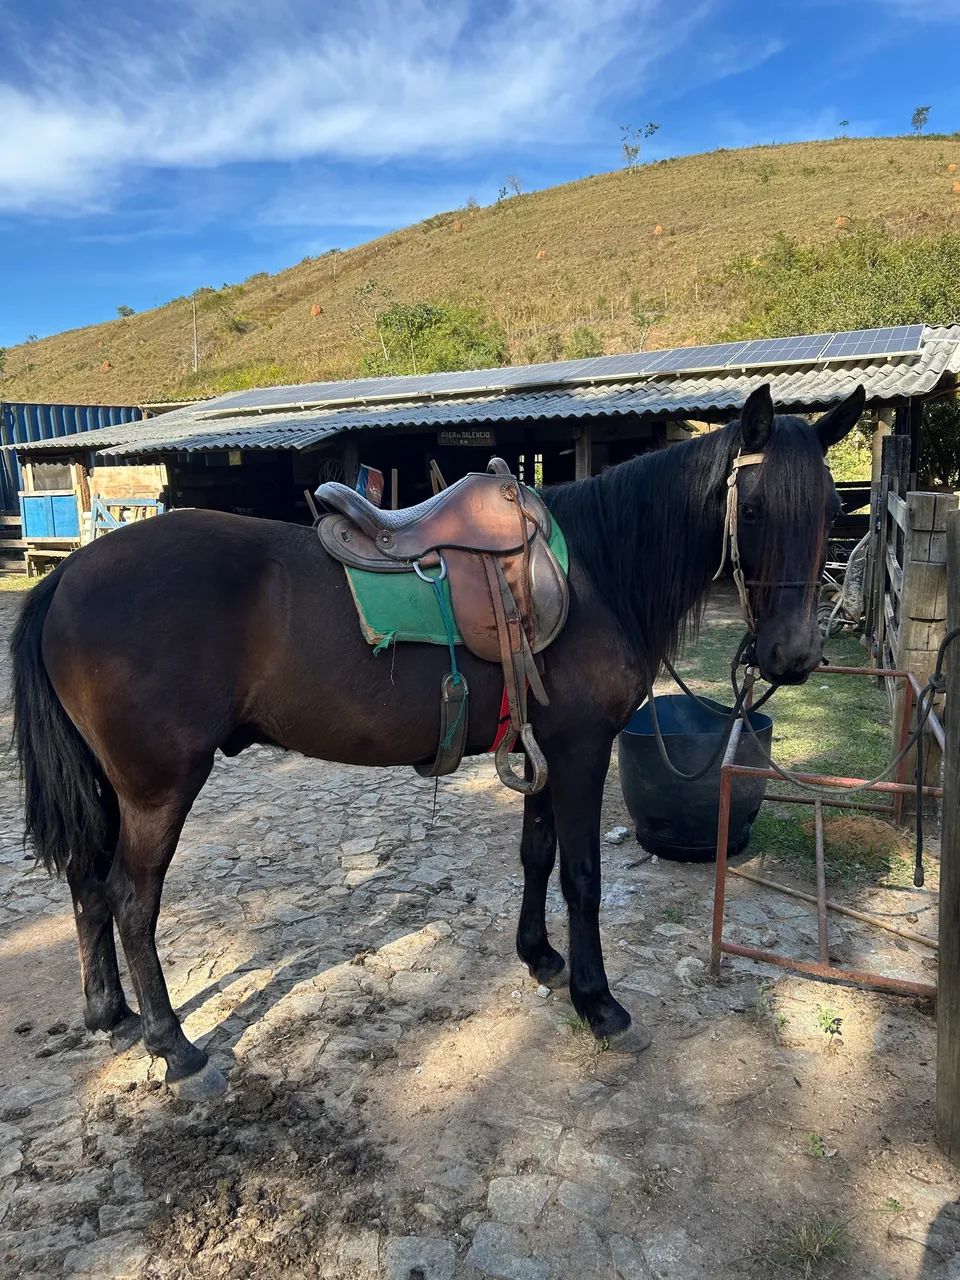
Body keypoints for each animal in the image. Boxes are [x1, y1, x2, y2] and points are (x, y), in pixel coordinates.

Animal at [10, 382, 863, 1101]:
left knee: (87, 882)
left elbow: (537, 855)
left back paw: (111, 1014)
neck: (593, 574)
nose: (793, 656)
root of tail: (67, 577)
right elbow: (583, 876)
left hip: (111, 787)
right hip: (159, 786)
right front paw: (598, 1002)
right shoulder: (582, 752)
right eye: (754, 509)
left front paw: (540, 958)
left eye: (830, 506)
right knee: (131, 900)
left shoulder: (544, 747)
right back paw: (175, 1047)